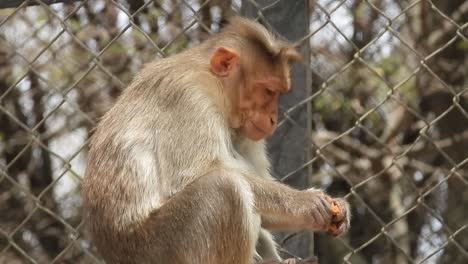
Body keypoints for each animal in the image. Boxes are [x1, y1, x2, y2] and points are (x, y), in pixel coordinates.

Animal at [82, 17, 350, 264]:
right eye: (268, 91)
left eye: (279, 92)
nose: (273, 118)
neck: (213, 82)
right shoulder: (188, 97)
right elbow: (197, 174)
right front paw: (307, 203)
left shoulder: (244, 130)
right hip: (158, 250)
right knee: (225, 187)